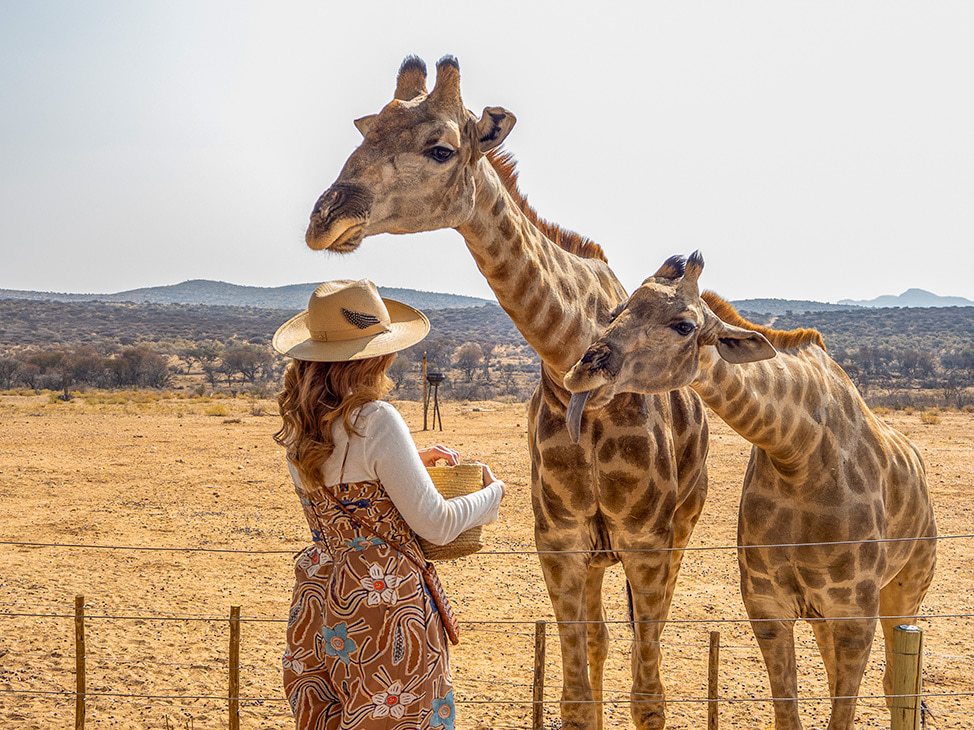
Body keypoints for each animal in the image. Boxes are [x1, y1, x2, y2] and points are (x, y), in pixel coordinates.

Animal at [303, 55, 710, 729]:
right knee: (600, 645)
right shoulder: (560, 545)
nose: (323, 218)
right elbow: (576, 698)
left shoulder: (647, 545)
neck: (571, 360)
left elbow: (648, 696)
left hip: (679, 532)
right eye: (365, 131)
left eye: (441, 149)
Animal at [564, 251, 938, 730]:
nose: (581, 372)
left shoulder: (855, 611)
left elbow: (845, 709)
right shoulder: (767, 606)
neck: (797, 453)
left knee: (894, 682)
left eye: (684, 325)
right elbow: (789, 712)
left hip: (907, 586)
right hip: (826, 613)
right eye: (615, 313)